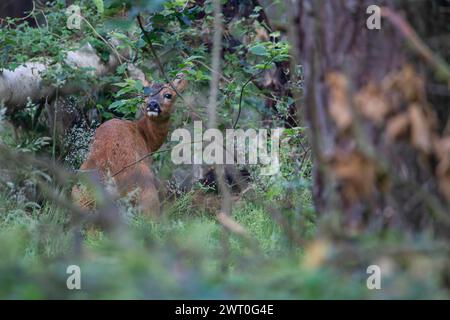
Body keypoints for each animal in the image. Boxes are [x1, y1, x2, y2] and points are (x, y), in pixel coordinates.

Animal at [72, 74, 188, 216]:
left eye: (168, 95)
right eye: (145, 94)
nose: (152, 104)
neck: (146, 137)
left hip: (80, 194)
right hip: (144, 188)